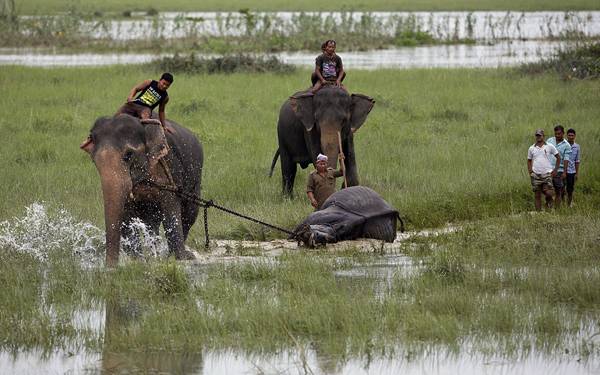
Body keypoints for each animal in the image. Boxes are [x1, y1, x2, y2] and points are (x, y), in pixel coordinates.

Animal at [79, 115, 204, 268]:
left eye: (128, 155)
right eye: (94, 160)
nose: (110, 266)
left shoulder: (170, 168)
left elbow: (171, 209)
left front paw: (180, 258)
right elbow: (126, 215)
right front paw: (136, 260)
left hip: (195, 177)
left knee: (189, 214)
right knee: (152, 221)